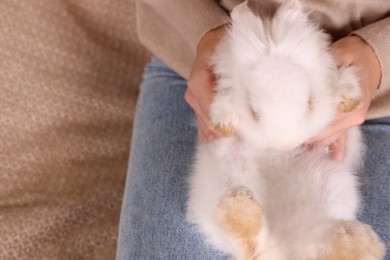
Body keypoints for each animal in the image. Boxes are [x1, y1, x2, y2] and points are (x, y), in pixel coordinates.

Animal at [187, 1, 386, 258]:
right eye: (253, 111)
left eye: (309, 101)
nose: (286, 145)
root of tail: (279, 246)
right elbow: (225, 100)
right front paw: (222, 123)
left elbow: (341, 81)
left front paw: (348, 101)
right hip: (226, 174)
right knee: (251, 246)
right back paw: (240, 210)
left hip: (328, 182)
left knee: (310, 240)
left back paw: (355, 244)